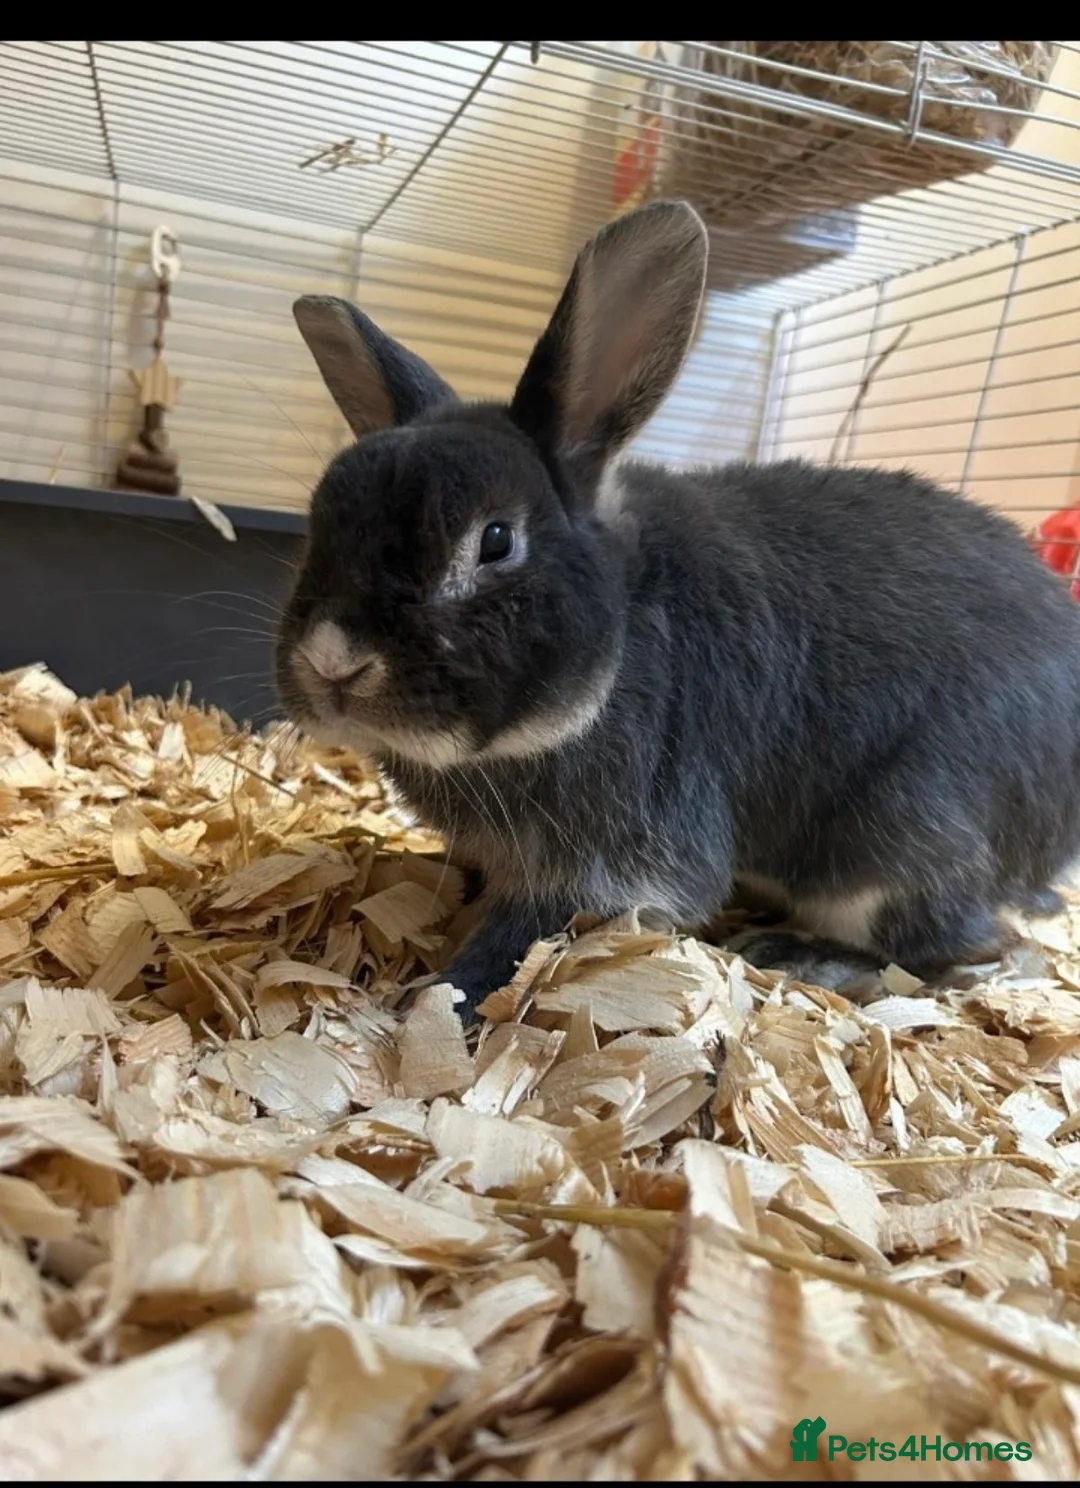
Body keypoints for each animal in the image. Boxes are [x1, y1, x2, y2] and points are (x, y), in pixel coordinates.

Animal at [276, 199, 1080, 1018]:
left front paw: (440, 1000)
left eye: (496, 540)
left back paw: (803, 955)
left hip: (893, 847)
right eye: (322, 519)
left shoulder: (621, 857)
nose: (334, 661)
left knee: (971, 949)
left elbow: (522, 940)